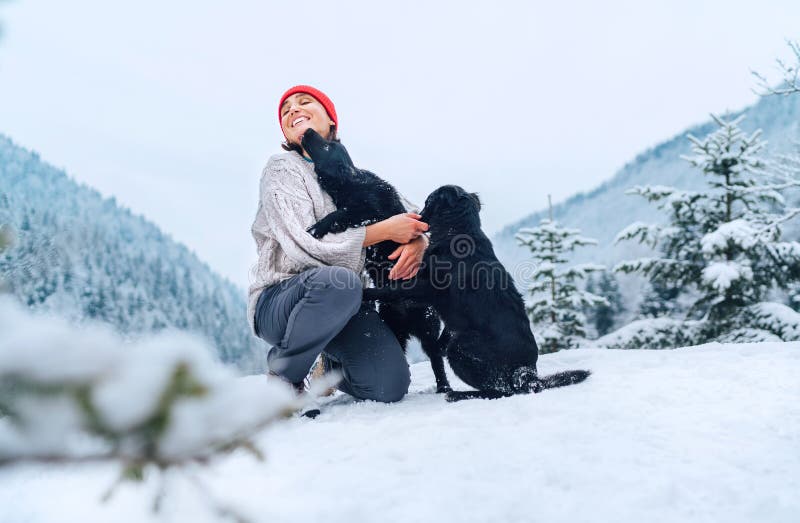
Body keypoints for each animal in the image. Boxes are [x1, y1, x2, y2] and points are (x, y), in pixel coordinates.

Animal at [362, 184, 588, 402]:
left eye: (427, 202)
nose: (414, 215)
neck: (458, 231)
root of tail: (530, 376)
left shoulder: (427, 288)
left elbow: (393, 289)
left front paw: (366, 293)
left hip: (460, 349)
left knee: (503, 390)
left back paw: (458, 395)